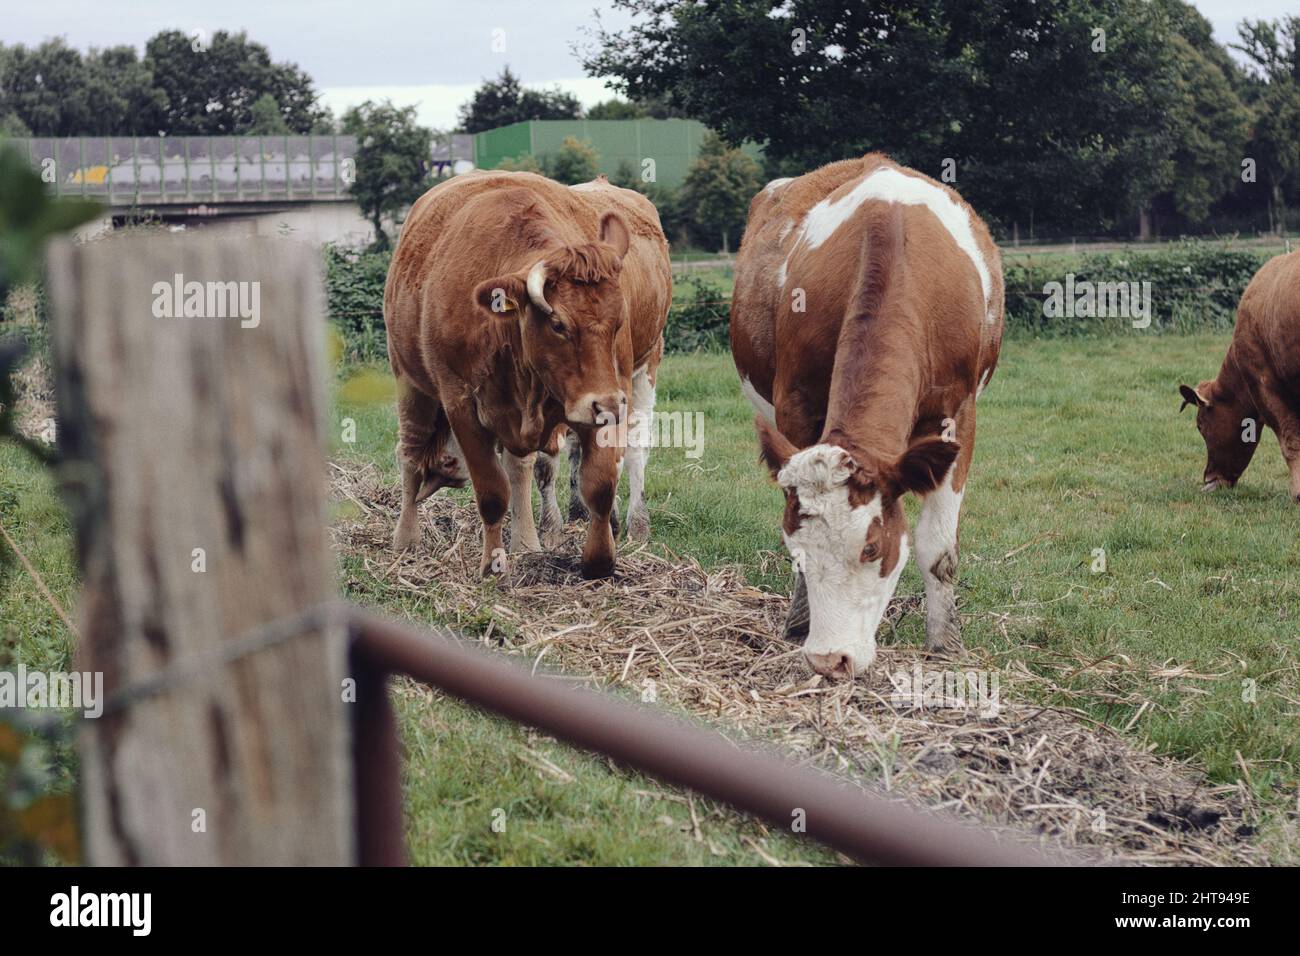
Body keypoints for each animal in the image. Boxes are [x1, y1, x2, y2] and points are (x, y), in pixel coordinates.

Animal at [384, 170, 671, 579]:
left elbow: (599, 483)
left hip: (646, 367)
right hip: (409, 380)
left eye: (619, 320)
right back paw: (406, 540)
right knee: (411, 452)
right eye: (558, 324)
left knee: (622, 451)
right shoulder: (461, 406)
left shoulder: (599, 395)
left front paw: (599, 559)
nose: (610, 404)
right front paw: (493, 564)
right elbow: (492, 493)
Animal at [730, 154, 1004, 679]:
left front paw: (945, 645)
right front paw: (798, 624)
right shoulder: (796, 407)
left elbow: (938, 547)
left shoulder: (959, 417)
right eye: (796, 550)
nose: (829, 659)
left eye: (872, 548)